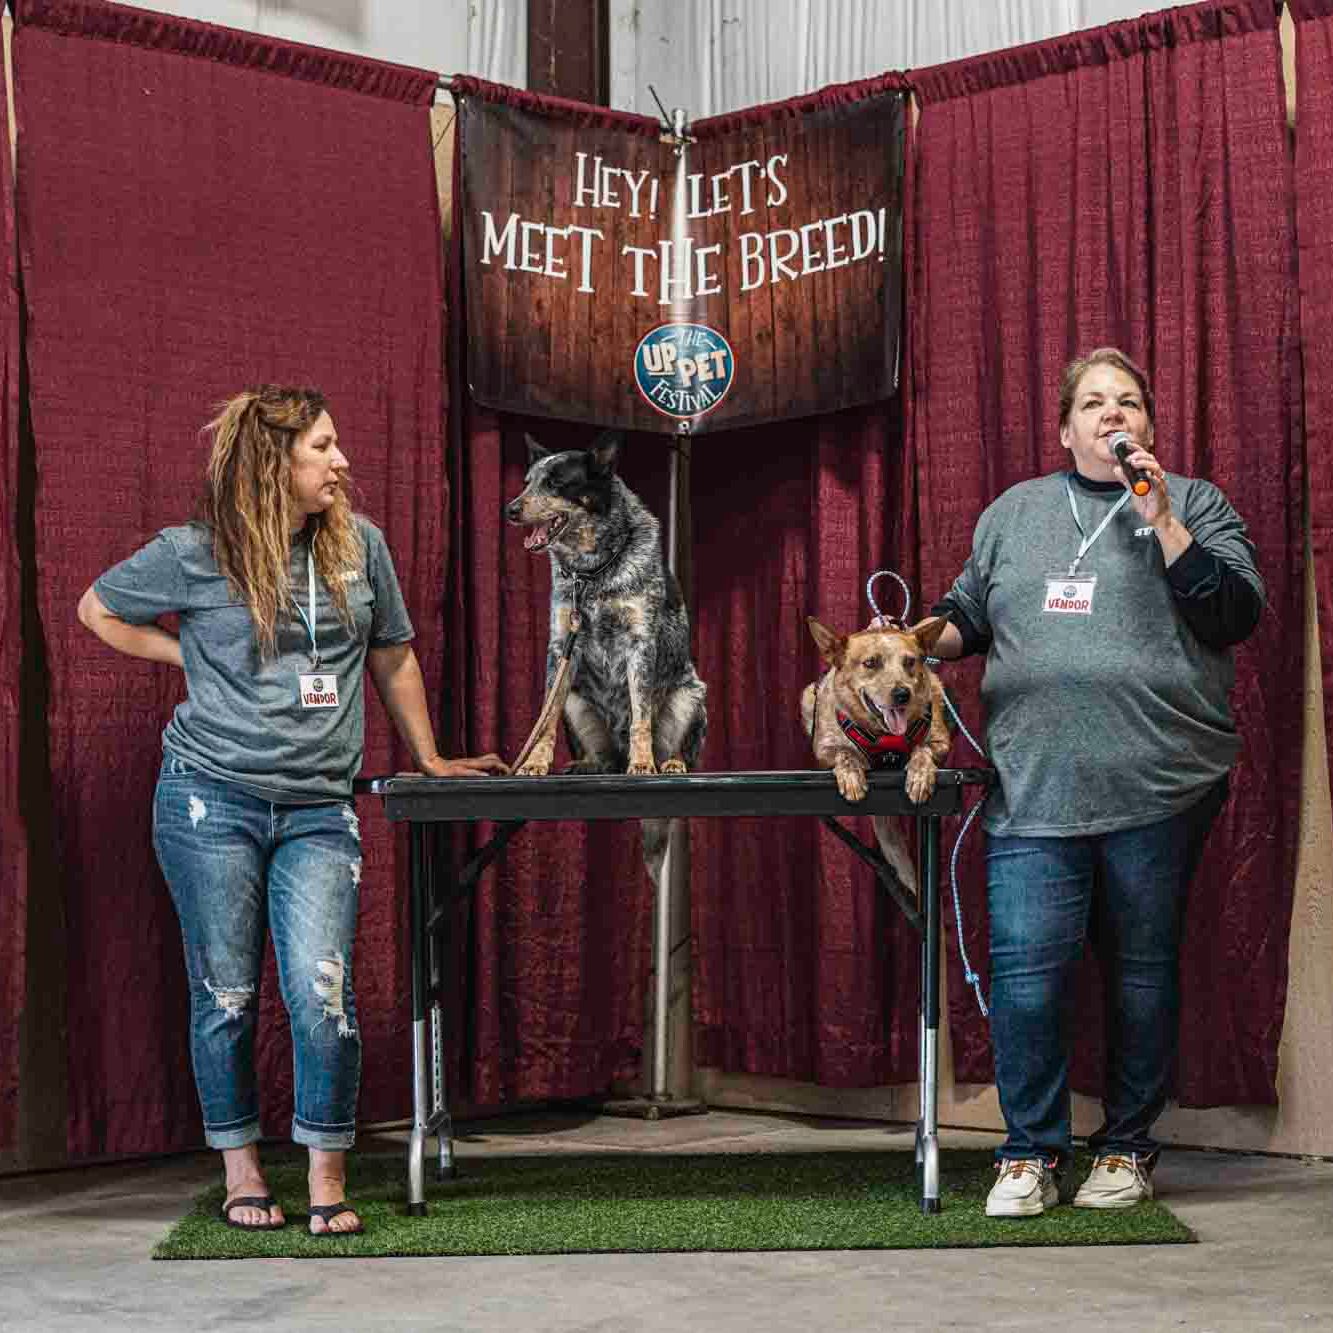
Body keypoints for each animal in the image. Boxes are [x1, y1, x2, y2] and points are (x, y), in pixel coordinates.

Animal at [504, 430, 707, 882]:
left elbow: (641, 718)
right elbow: (543, 720)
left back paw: (669, 765)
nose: (509, 510)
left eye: (556, 483)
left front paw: (643, 764)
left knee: (679, 748)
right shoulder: (561, 646)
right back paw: (588, 765)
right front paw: (534, 764)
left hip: (691, 695)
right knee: (603, 756)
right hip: (577, 701)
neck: (592, 572)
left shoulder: (640, 643)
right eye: (527, 482)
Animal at [801, 615, 952, 896]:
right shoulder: (824, 747)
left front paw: (919, 776)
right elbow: (844, 751)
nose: (902, 694)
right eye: (870, 663)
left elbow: (922, 749)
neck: (885, 736)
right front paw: (852, 773)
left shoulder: (941, 741)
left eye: (910, 662)